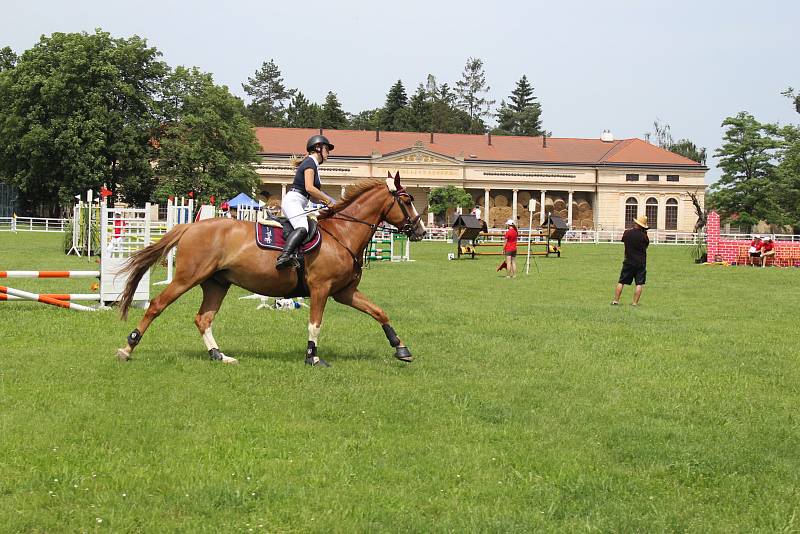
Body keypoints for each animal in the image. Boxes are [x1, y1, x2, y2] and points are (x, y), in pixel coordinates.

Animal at [116, 176, 428, 368]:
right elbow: (315, 324)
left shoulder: (344, 292)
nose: (422, 231)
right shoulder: (322, 289)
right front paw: (313, 359)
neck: (343, 234)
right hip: (187, 278)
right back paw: (127, 348)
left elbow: (379, 312)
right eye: (407, 201)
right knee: (156, 305)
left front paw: (401, 349)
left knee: (203, 318)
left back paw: (219, 355)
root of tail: (191, 226)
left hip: (216, 283)